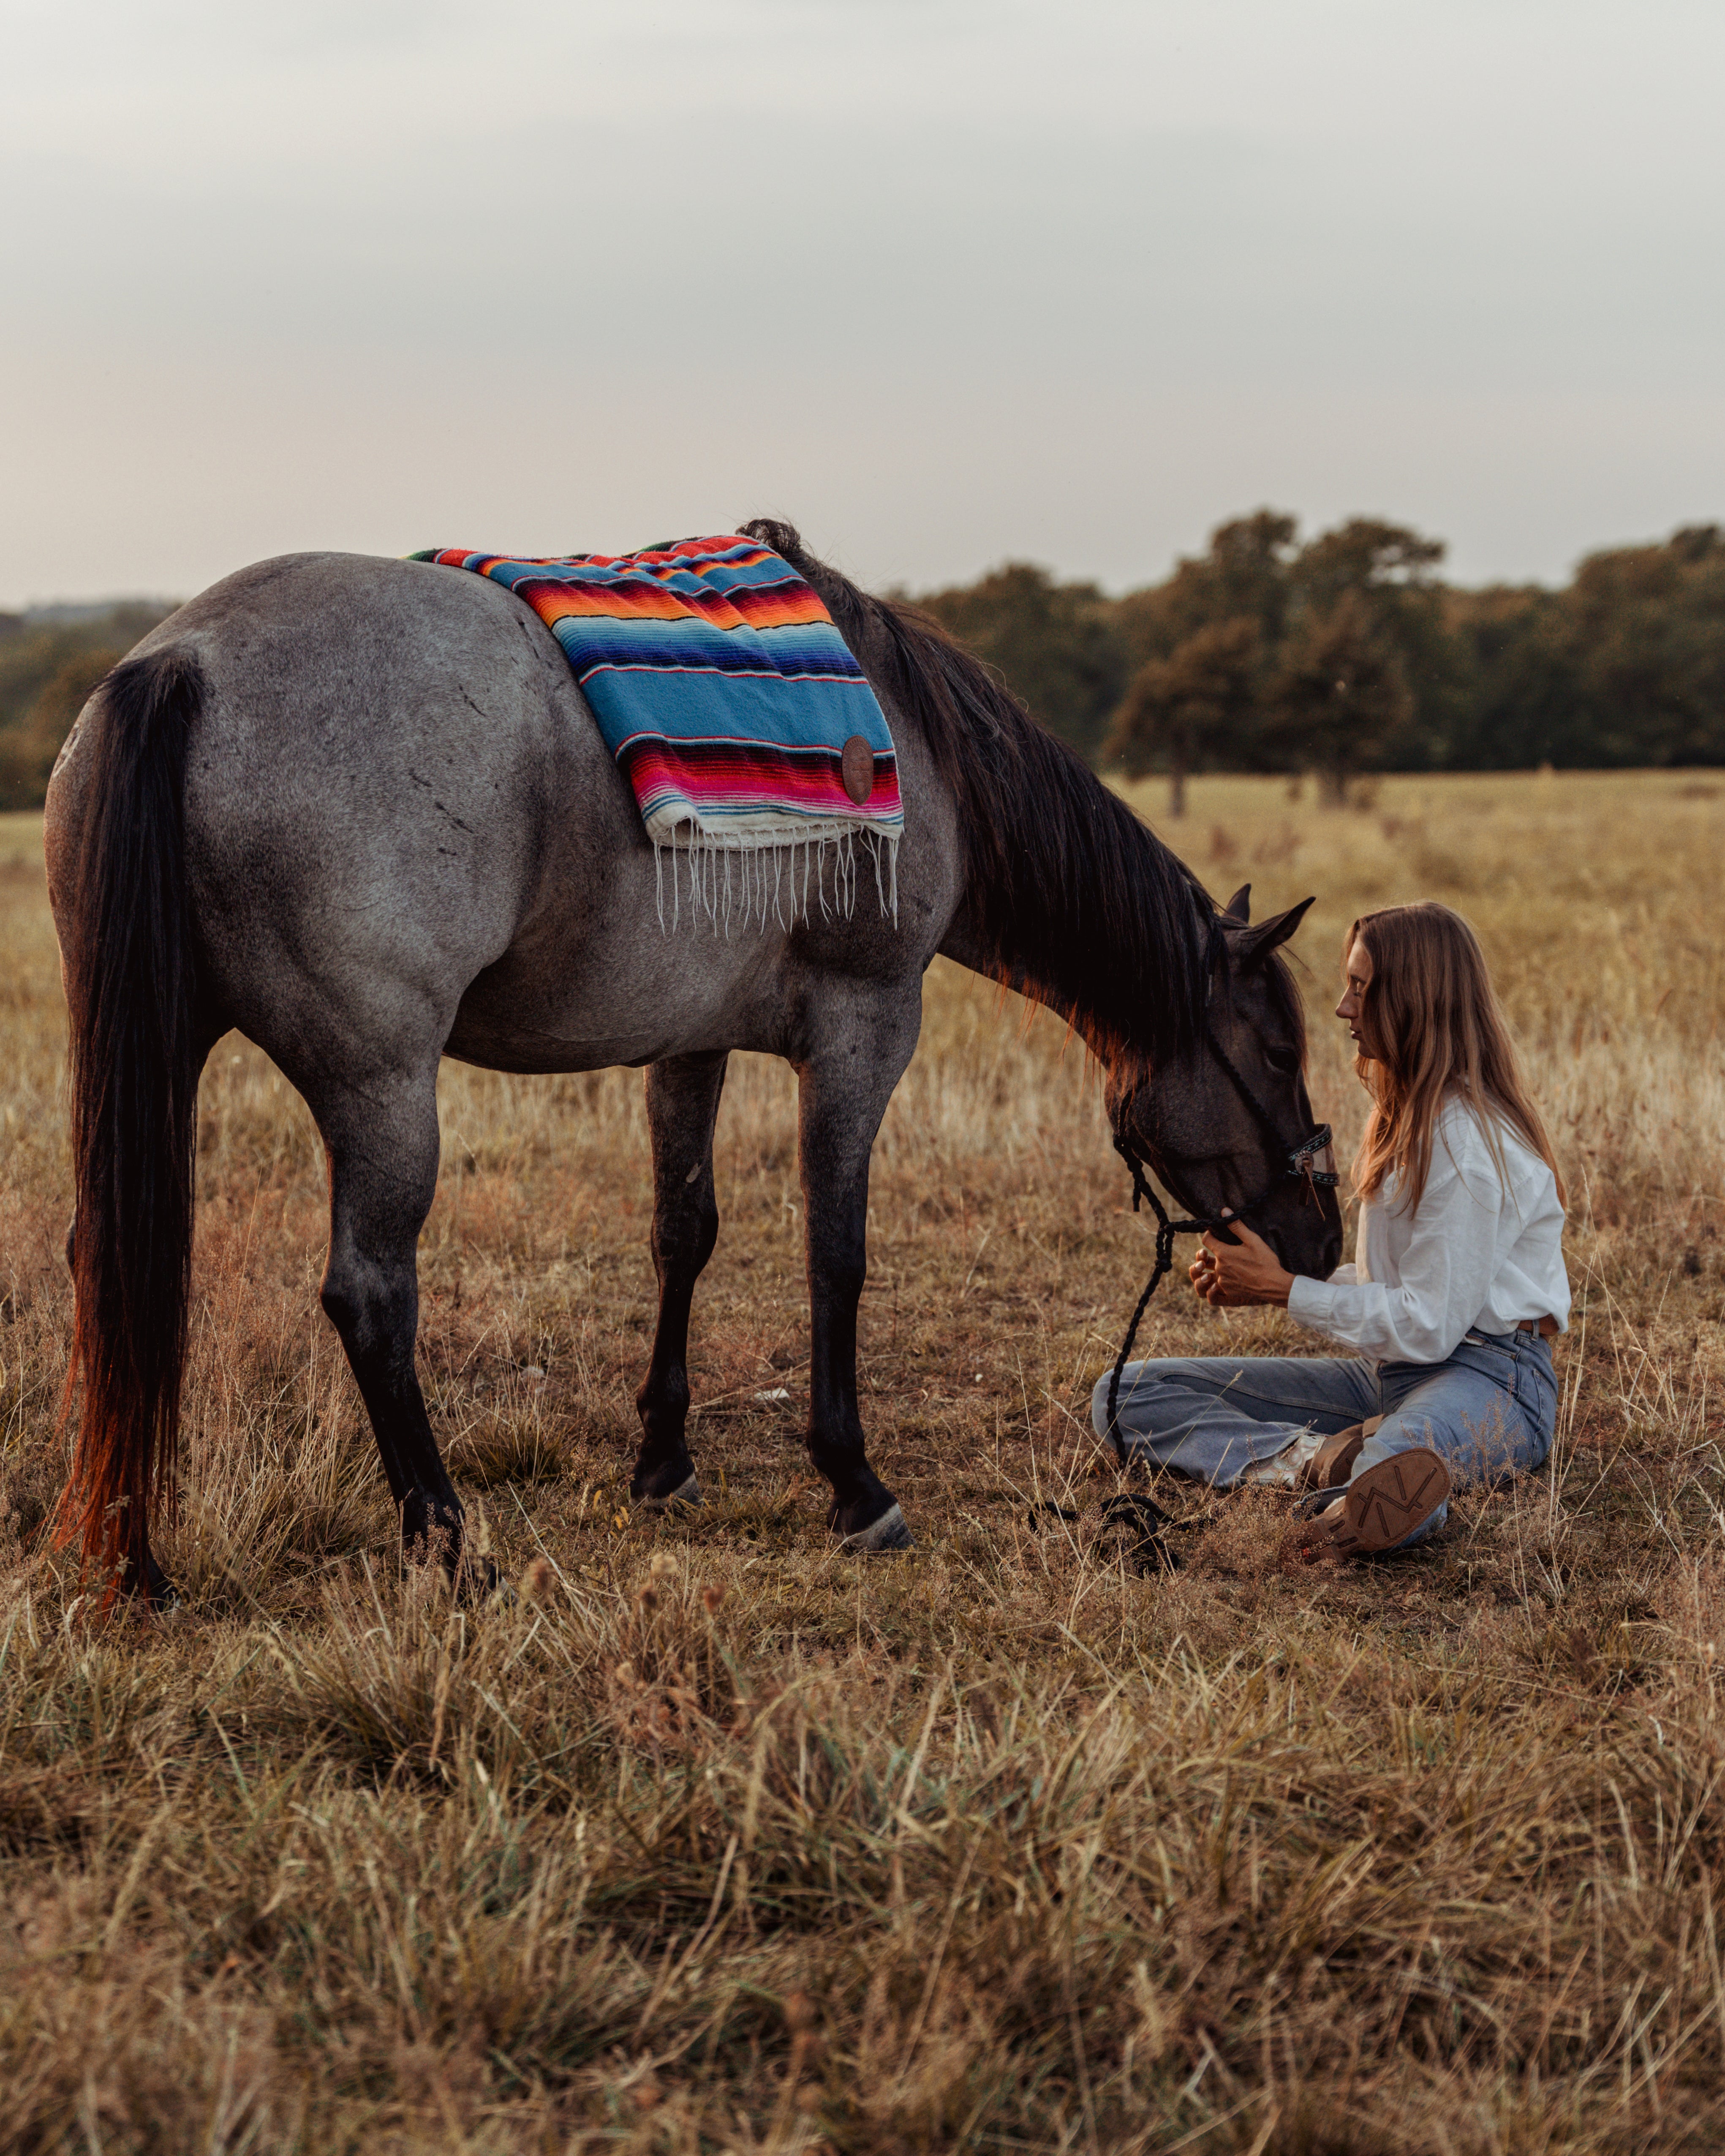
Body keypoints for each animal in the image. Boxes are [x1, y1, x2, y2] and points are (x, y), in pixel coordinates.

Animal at [37, 517, 1337, 1604]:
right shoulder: (865, 1029)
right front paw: (851, 1482)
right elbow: (836, 1251)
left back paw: (134, 1557)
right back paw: (447, 1542)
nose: (1321, 1238)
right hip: (381, 1088)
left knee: (113, 1262)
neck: (918, 748)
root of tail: (185, 661)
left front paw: (662, 1457)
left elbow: (684, 1231)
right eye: (1277, 1049)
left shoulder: (689, 1036)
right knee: (368, 1296)